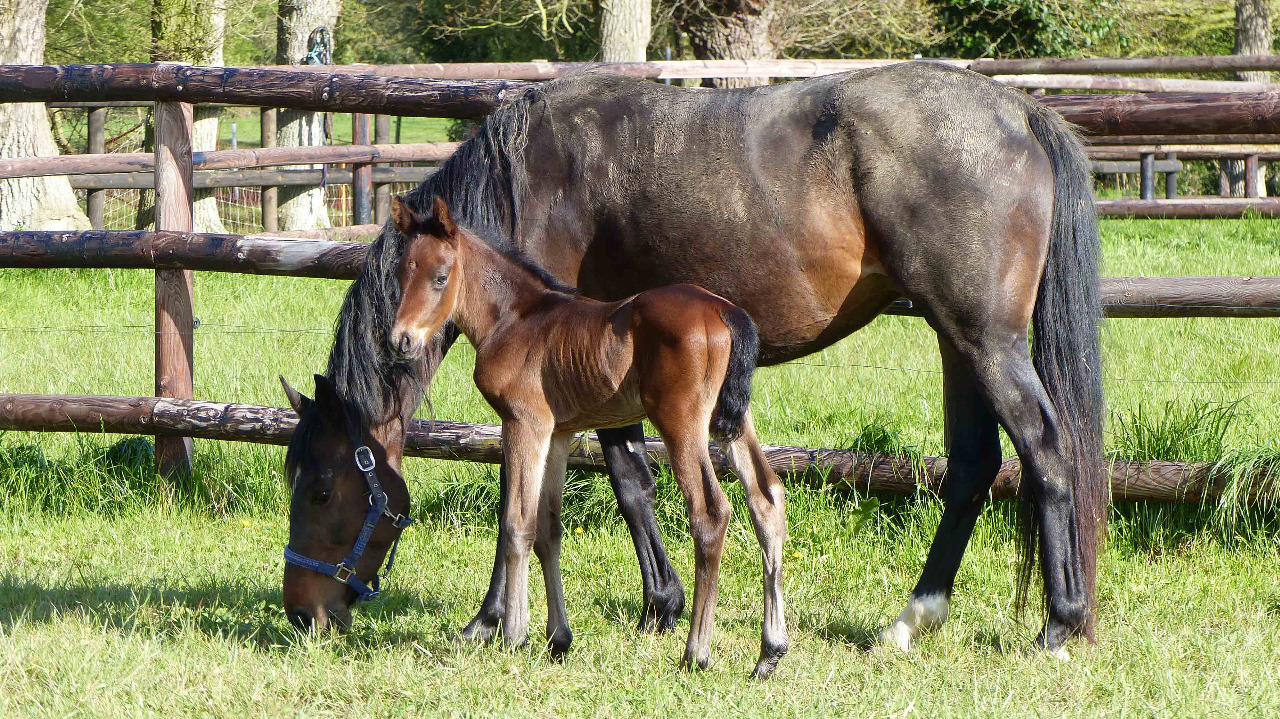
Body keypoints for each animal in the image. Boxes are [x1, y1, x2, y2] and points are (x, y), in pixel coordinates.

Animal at [381, 194, 789, 676]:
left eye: (440, 277)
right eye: (401, 274)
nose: (400, 340)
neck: (512, 316)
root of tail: (724, 310)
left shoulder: (524, 423)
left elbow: (516, 523)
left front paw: (513, 635)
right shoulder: (558, 435)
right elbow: (547, 529)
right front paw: (558, 638)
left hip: (681, 420)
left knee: (710, 512)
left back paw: (697, 652)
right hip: (732, 420)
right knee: (767, 499)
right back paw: (770, 652)